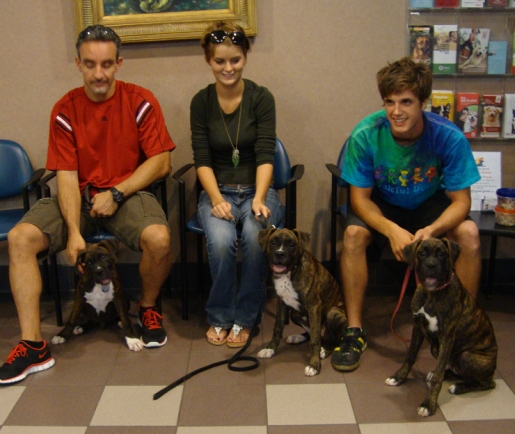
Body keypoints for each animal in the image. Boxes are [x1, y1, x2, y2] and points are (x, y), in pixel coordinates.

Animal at [256, 227, 348, 376]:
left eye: (292, 244)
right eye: (273, 242)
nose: (280, 254)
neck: (290, 272)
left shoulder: (314, 306)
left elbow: (315, 340)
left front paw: (314, 365)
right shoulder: (281, 304)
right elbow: (277, 328)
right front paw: (270, 349)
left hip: (333, 313)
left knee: (333, 339)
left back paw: (324, 350)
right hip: (294, 315)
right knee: (312, 333)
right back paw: (298, 337)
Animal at [388, 237, 496, 418]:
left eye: (442, 254)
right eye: (421, 253)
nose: (431, 265)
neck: (432, 294)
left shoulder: (447, 338)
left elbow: (438, 376)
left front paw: (428, 404)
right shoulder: (418, 328)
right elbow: (410, 356)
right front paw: (398, 377)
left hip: (467, 356)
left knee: (486, 383)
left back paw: (458, 387)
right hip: (438, 350)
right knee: (453, 369)